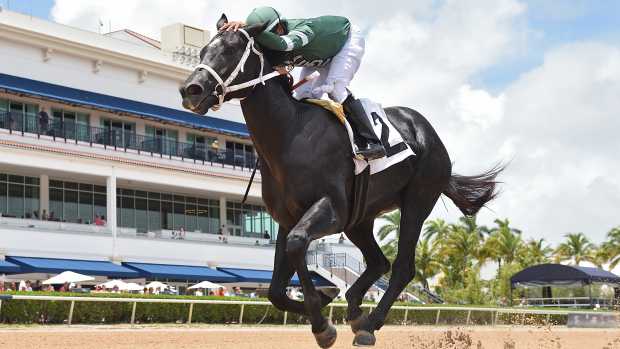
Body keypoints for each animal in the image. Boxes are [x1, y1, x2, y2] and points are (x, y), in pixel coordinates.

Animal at [179, 14, 504, 346]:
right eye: (203, 50)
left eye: (231, 49)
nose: (191, 89)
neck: (290, 134)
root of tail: (428, 132)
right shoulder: (287, 218)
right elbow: (275, 290)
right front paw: (325, 305)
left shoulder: (332, 209)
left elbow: (298, 244)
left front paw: (323, 323)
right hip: (360, 218)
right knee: (379, 261)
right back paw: (355, 311)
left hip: (417, 200)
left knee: (402, 267)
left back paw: (370, 325)